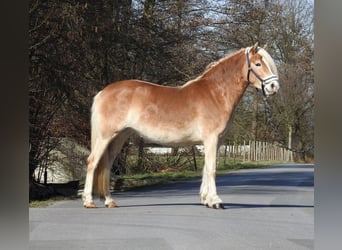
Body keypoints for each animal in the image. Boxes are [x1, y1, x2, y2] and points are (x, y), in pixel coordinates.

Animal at [83, 42, 280, 209]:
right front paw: (216, 201)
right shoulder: (211, 139)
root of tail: (103, 92)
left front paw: (206, 200)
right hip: (106, 136)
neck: (215, 93)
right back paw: (88, 201)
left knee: (107, 164)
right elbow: (212, 170)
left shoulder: (215, 141)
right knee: (93, 162)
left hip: (119, 136)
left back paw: (109, 201)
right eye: (257, 64)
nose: (273, 87)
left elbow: (206, 169)